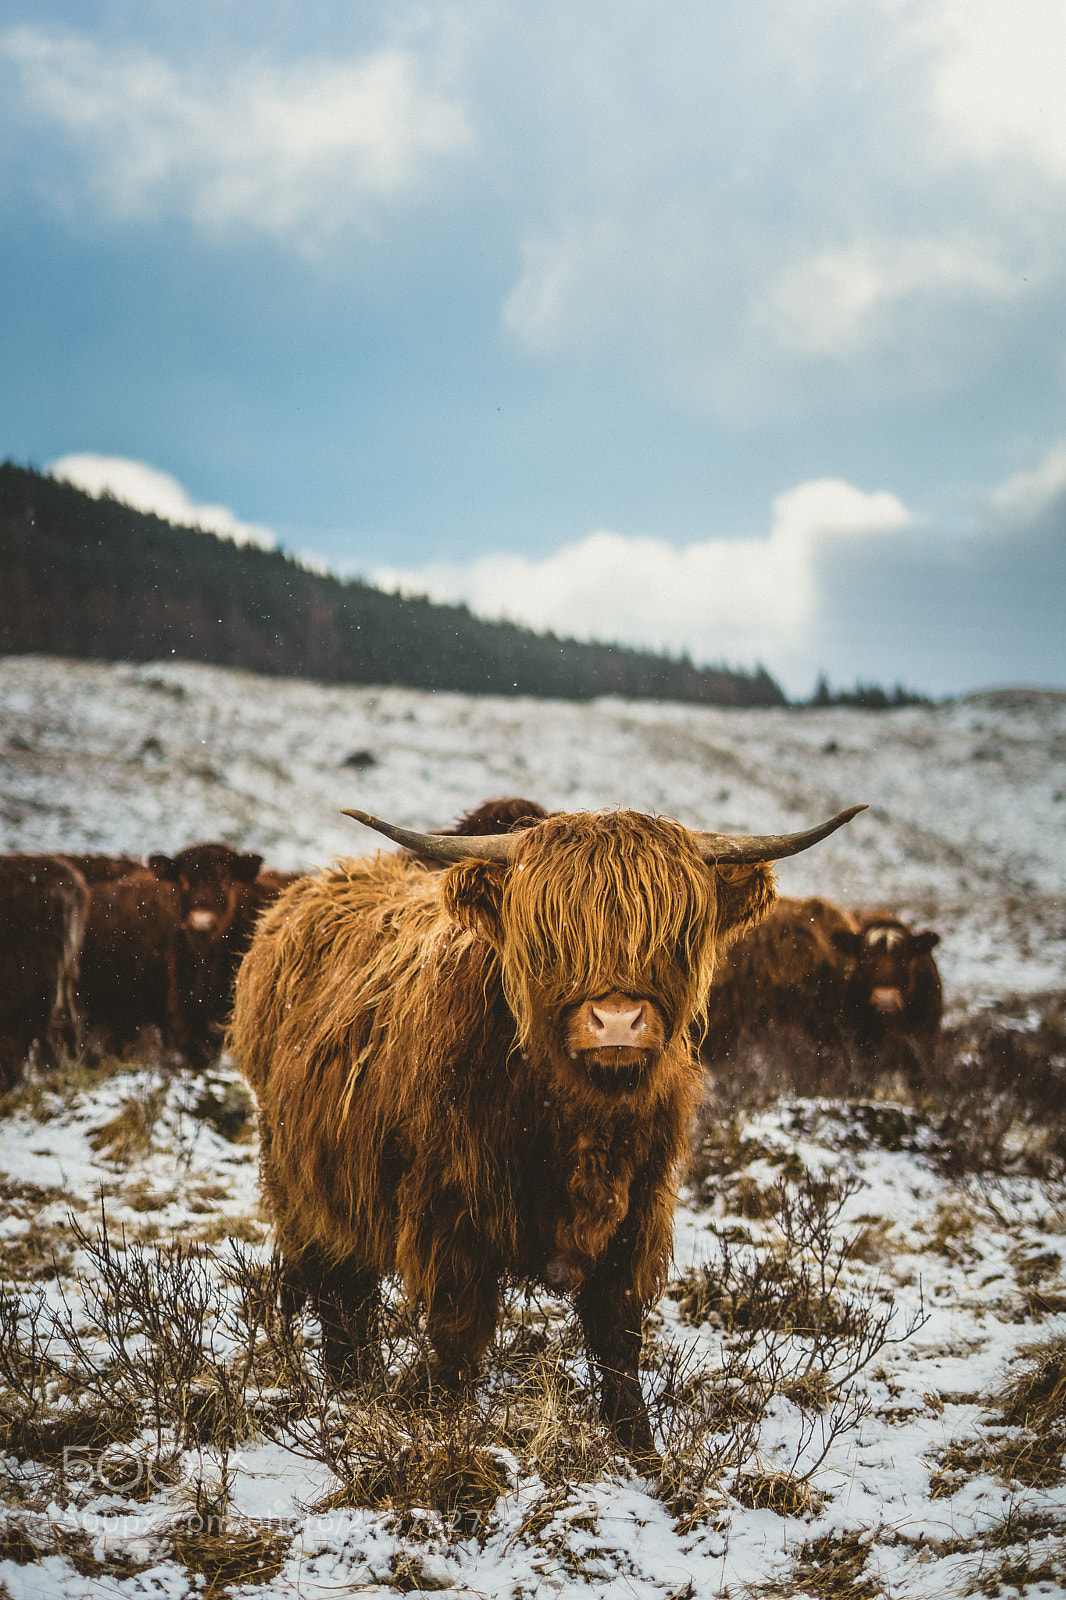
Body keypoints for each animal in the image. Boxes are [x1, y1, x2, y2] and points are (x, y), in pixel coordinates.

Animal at [230, 801, 864, 1464]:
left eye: (674, 933)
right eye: (550, 936)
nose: (617, 1020)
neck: (578, 1120)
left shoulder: (639, 1214)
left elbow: (617, 1335)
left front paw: (638, 1448)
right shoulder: (448, 1215)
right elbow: (459, 1333)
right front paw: (443, 1430)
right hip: (304, 1183)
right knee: (337, 1287)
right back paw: (351, 1384)